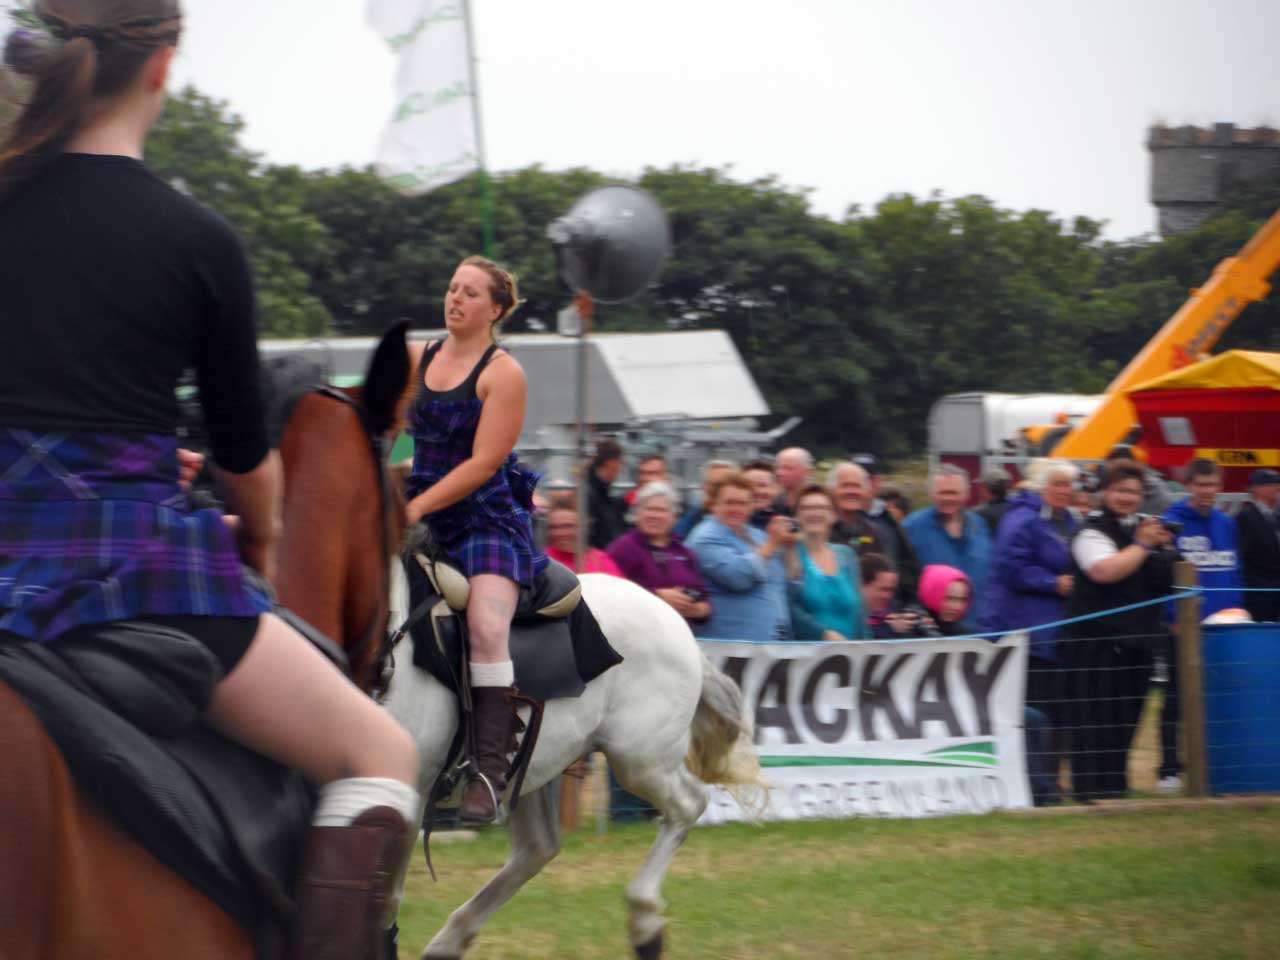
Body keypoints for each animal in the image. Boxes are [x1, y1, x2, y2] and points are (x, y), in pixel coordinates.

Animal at [381, 570, 757, 960]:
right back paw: (449, 941)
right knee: (539, 847)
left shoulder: (407, 791)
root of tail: (677, 624)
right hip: (529, 768)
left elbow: (386, 898)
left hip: (641, 761)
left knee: (688, 805)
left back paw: (645, 925)